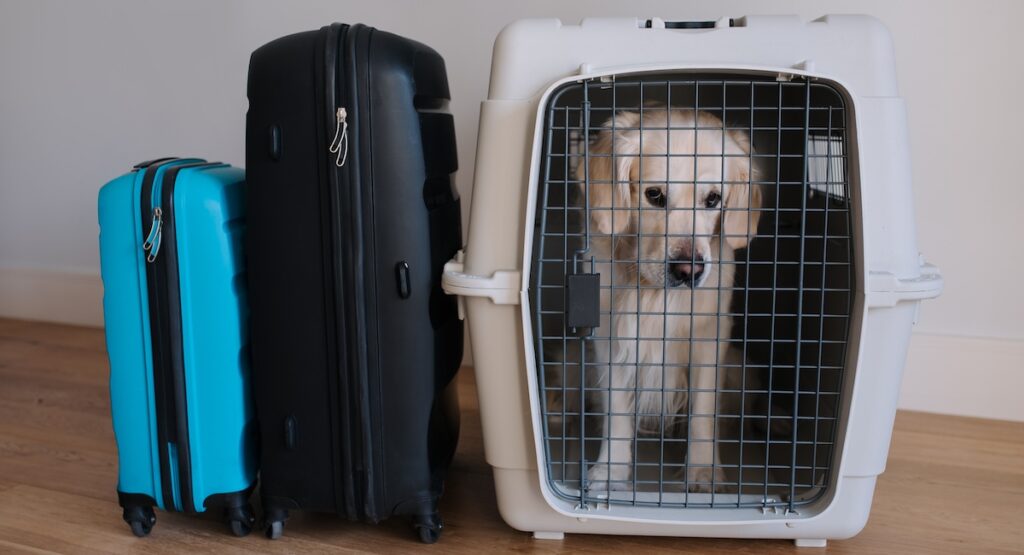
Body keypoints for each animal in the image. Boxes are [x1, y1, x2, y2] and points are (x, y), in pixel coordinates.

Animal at [577, 110, 761, 495]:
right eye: (655, 195)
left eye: (713, 199)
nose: (688, 270)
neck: (652, 292)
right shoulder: (611, 339)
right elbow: (616, 411)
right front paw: (610, 471)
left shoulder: (709, 336)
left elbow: (703, 412)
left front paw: (703, 473)